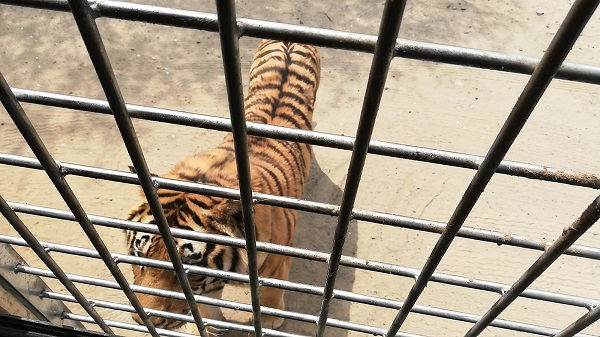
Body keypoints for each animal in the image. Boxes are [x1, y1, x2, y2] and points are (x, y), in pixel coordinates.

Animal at [125, 40, 322, 330]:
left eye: (191, 269)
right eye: (139, 255)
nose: (142, 319)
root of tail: (288, 40)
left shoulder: (277, 264)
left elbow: (270, 295)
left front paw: (271, 320)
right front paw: (211, 325)